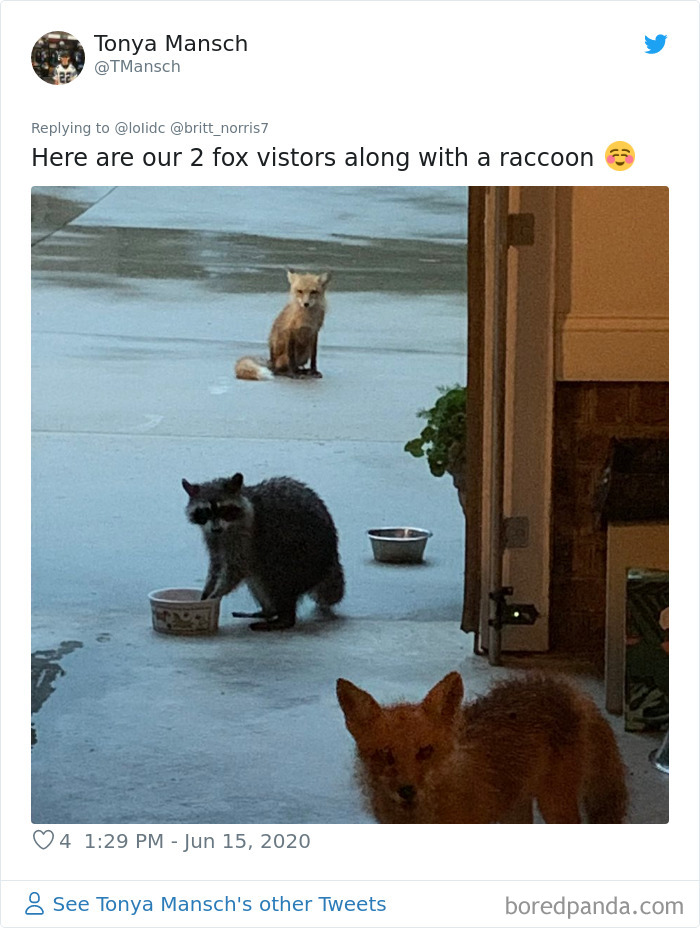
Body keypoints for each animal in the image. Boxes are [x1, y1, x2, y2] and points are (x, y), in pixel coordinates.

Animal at [336, 671, 628, 824]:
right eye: (385, 754)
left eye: (425, 751)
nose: (407, 791)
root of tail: (568, 688)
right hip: (516, 810)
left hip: (555, 806)